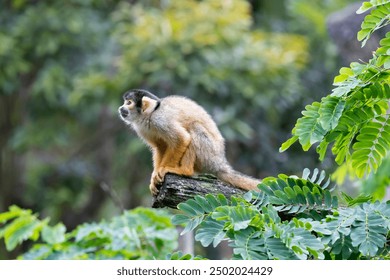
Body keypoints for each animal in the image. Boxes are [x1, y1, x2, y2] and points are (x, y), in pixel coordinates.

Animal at [117, 89, 260, 195]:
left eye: (128, 102)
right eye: (125, 102)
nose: (121, 108)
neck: (149, 115)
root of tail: (219, 163)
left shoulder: (160, 119)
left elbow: (182, 139)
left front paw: (163, 169)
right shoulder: (141, 128)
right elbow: (160, 146)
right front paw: (154, 177)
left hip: (209, 155)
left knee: (194, 128)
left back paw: (185, 171)